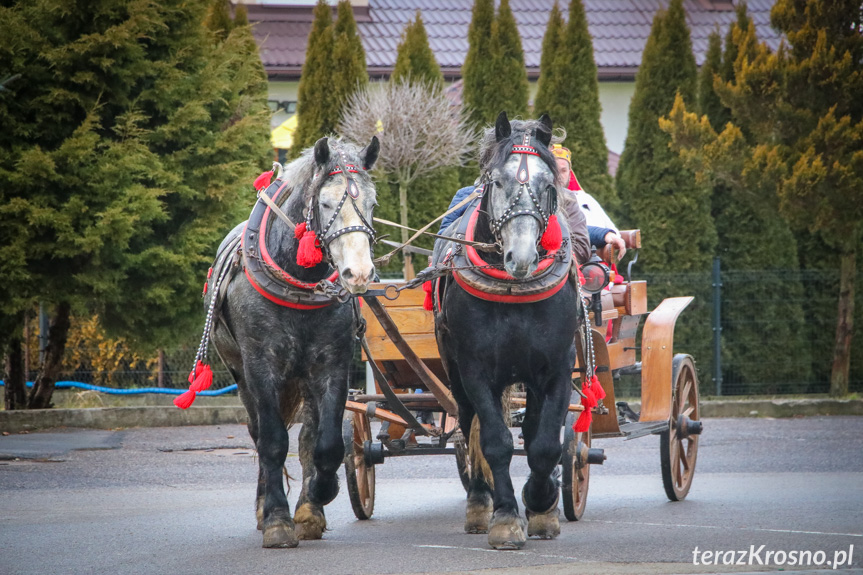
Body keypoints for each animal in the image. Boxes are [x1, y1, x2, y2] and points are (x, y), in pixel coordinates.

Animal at [206, 136, 378, 548]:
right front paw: (276, 520)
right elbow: (272, 442)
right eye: (326, 203)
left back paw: (310, 507)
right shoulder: (260, 366)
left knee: (308, 439)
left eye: (371, 204)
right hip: (242, 376)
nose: (359, 274)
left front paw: (318, 497)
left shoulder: (332, 365)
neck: (297, 282)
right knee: (260, 435)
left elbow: (326, 445)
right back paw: (264, 507)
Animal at [432, 115, 580, 552]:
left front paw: (541, 502)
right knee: (469, 427)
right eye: (496, 182)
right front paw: (505, 518)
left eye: (549, 185)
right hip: (455, 373)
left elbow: (545, 444)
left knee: (532, 431)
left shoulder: (557, 369)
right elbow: (494, 442)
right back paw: (480, 502)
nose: (523, 257)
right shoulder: (475, 370)